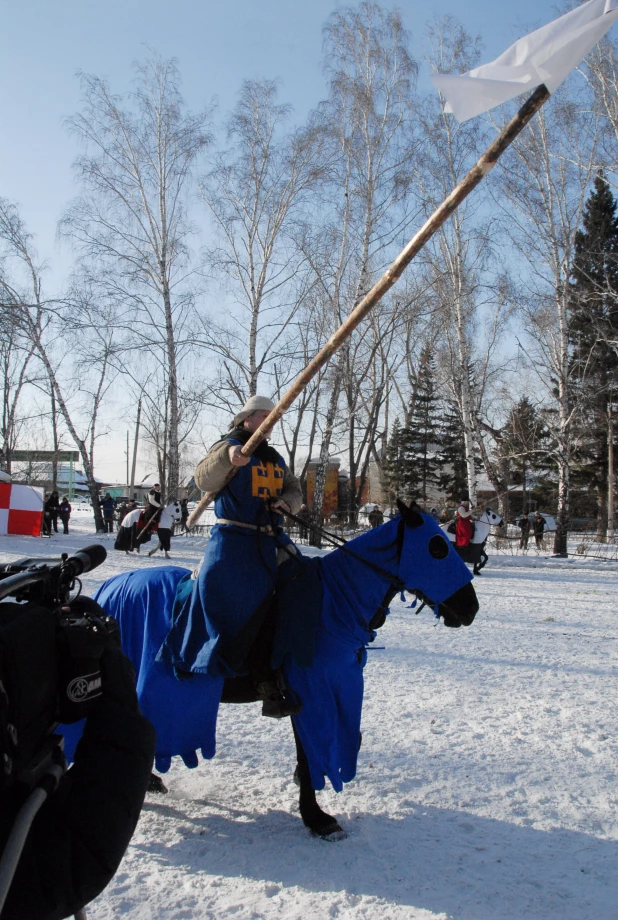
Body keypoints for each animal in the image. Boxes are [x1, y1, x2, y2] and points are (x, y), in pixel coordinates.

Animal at [85, 504, 476, 840]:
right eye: (437, 548)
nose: (470, 608)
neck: (333, 606)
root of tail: (109, 589)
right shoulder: (311, 696)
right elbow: (307, 752)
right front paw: (316, 817)